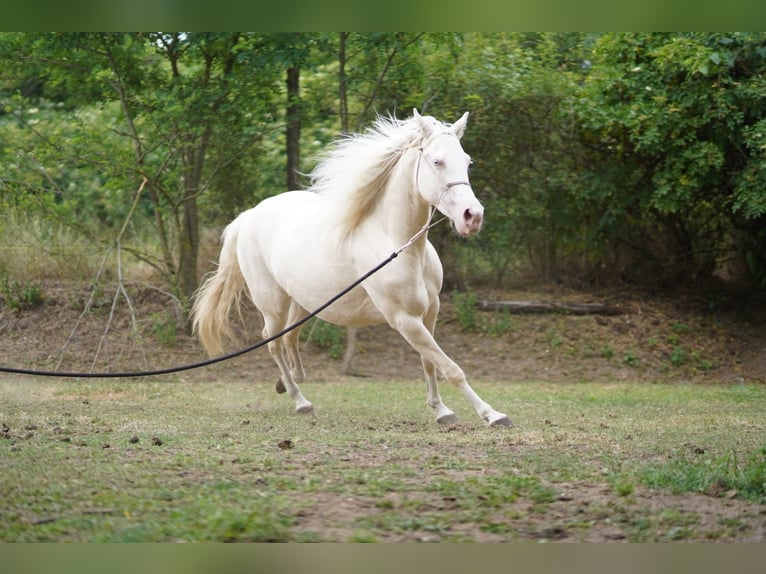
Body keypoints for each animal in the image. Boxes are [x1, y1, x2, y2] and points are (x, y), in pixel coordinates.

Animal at [192, 110, 510, 427]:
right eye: (437, 162)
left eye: (467, 161)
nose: (473, 216)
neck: (396, 244)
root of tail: (249, 216)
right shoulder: (404, 319)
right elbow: (450, 367)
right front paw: (492, 414)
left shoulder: (431, 311)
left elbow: (430, 362)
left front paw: (441, 410)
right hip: (272, 304)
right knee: (273, 343)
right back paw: (300, 400)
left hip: (305, 304)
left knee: (290, 339)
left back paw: (287, 383)